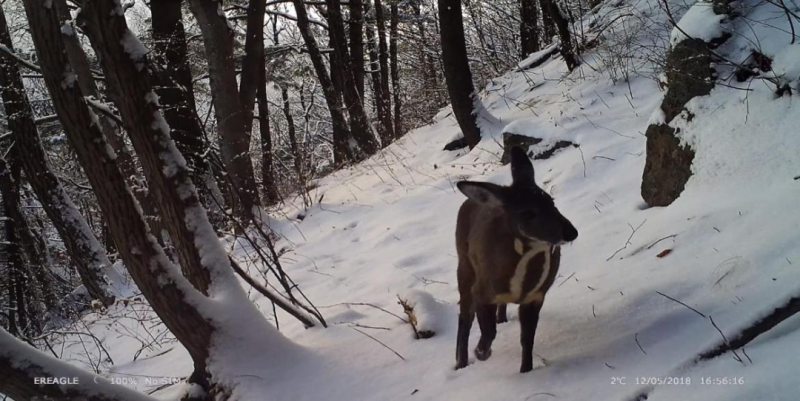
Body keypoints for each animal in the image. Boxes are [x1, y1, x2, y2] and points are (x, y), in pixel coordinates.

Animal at [454, 146, 578, 372]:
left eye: (551, 201)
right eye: (527, 213)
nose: (571, 232)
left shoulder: (536, 297)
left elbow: (527, 339)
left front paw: (526, 370)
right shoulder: (482, 291)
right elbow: (488, 331)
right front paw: (481, 353)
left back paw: (501, 319)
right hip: (464, 267)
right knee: (464, 317)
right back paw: (461, 363)